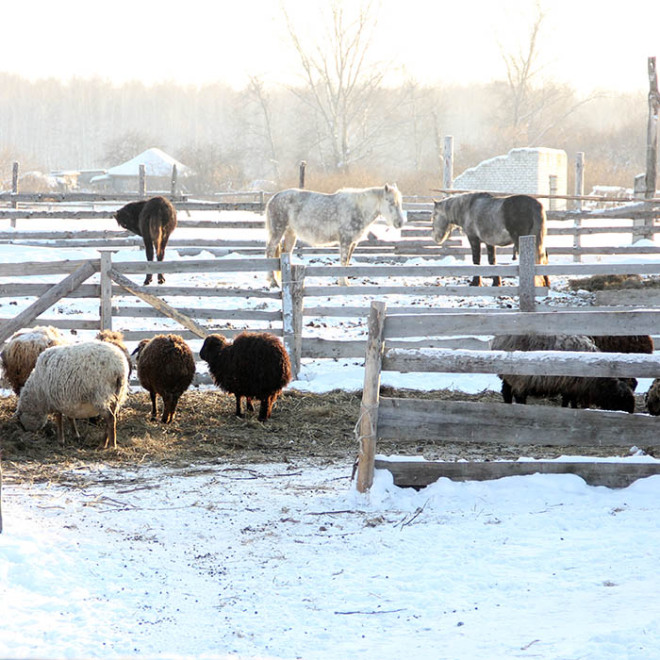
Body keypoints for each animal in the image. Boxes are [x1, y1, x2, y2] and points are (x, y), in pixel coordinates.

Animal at [266, 186, 404, 288]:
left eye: (400, 203)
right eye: (391, 202)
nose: (400, 223)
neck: (358, 209)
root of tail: (274, 197)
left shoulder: (352, 243)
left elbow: (347, 261)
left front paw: (345, 281)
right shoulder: (345, 241)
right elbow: (343, 261)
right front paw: (343, 283)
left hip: (290, 234)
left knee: (285, 253)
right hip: (278, 231)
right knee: (270, 251)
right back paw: (273, 281)